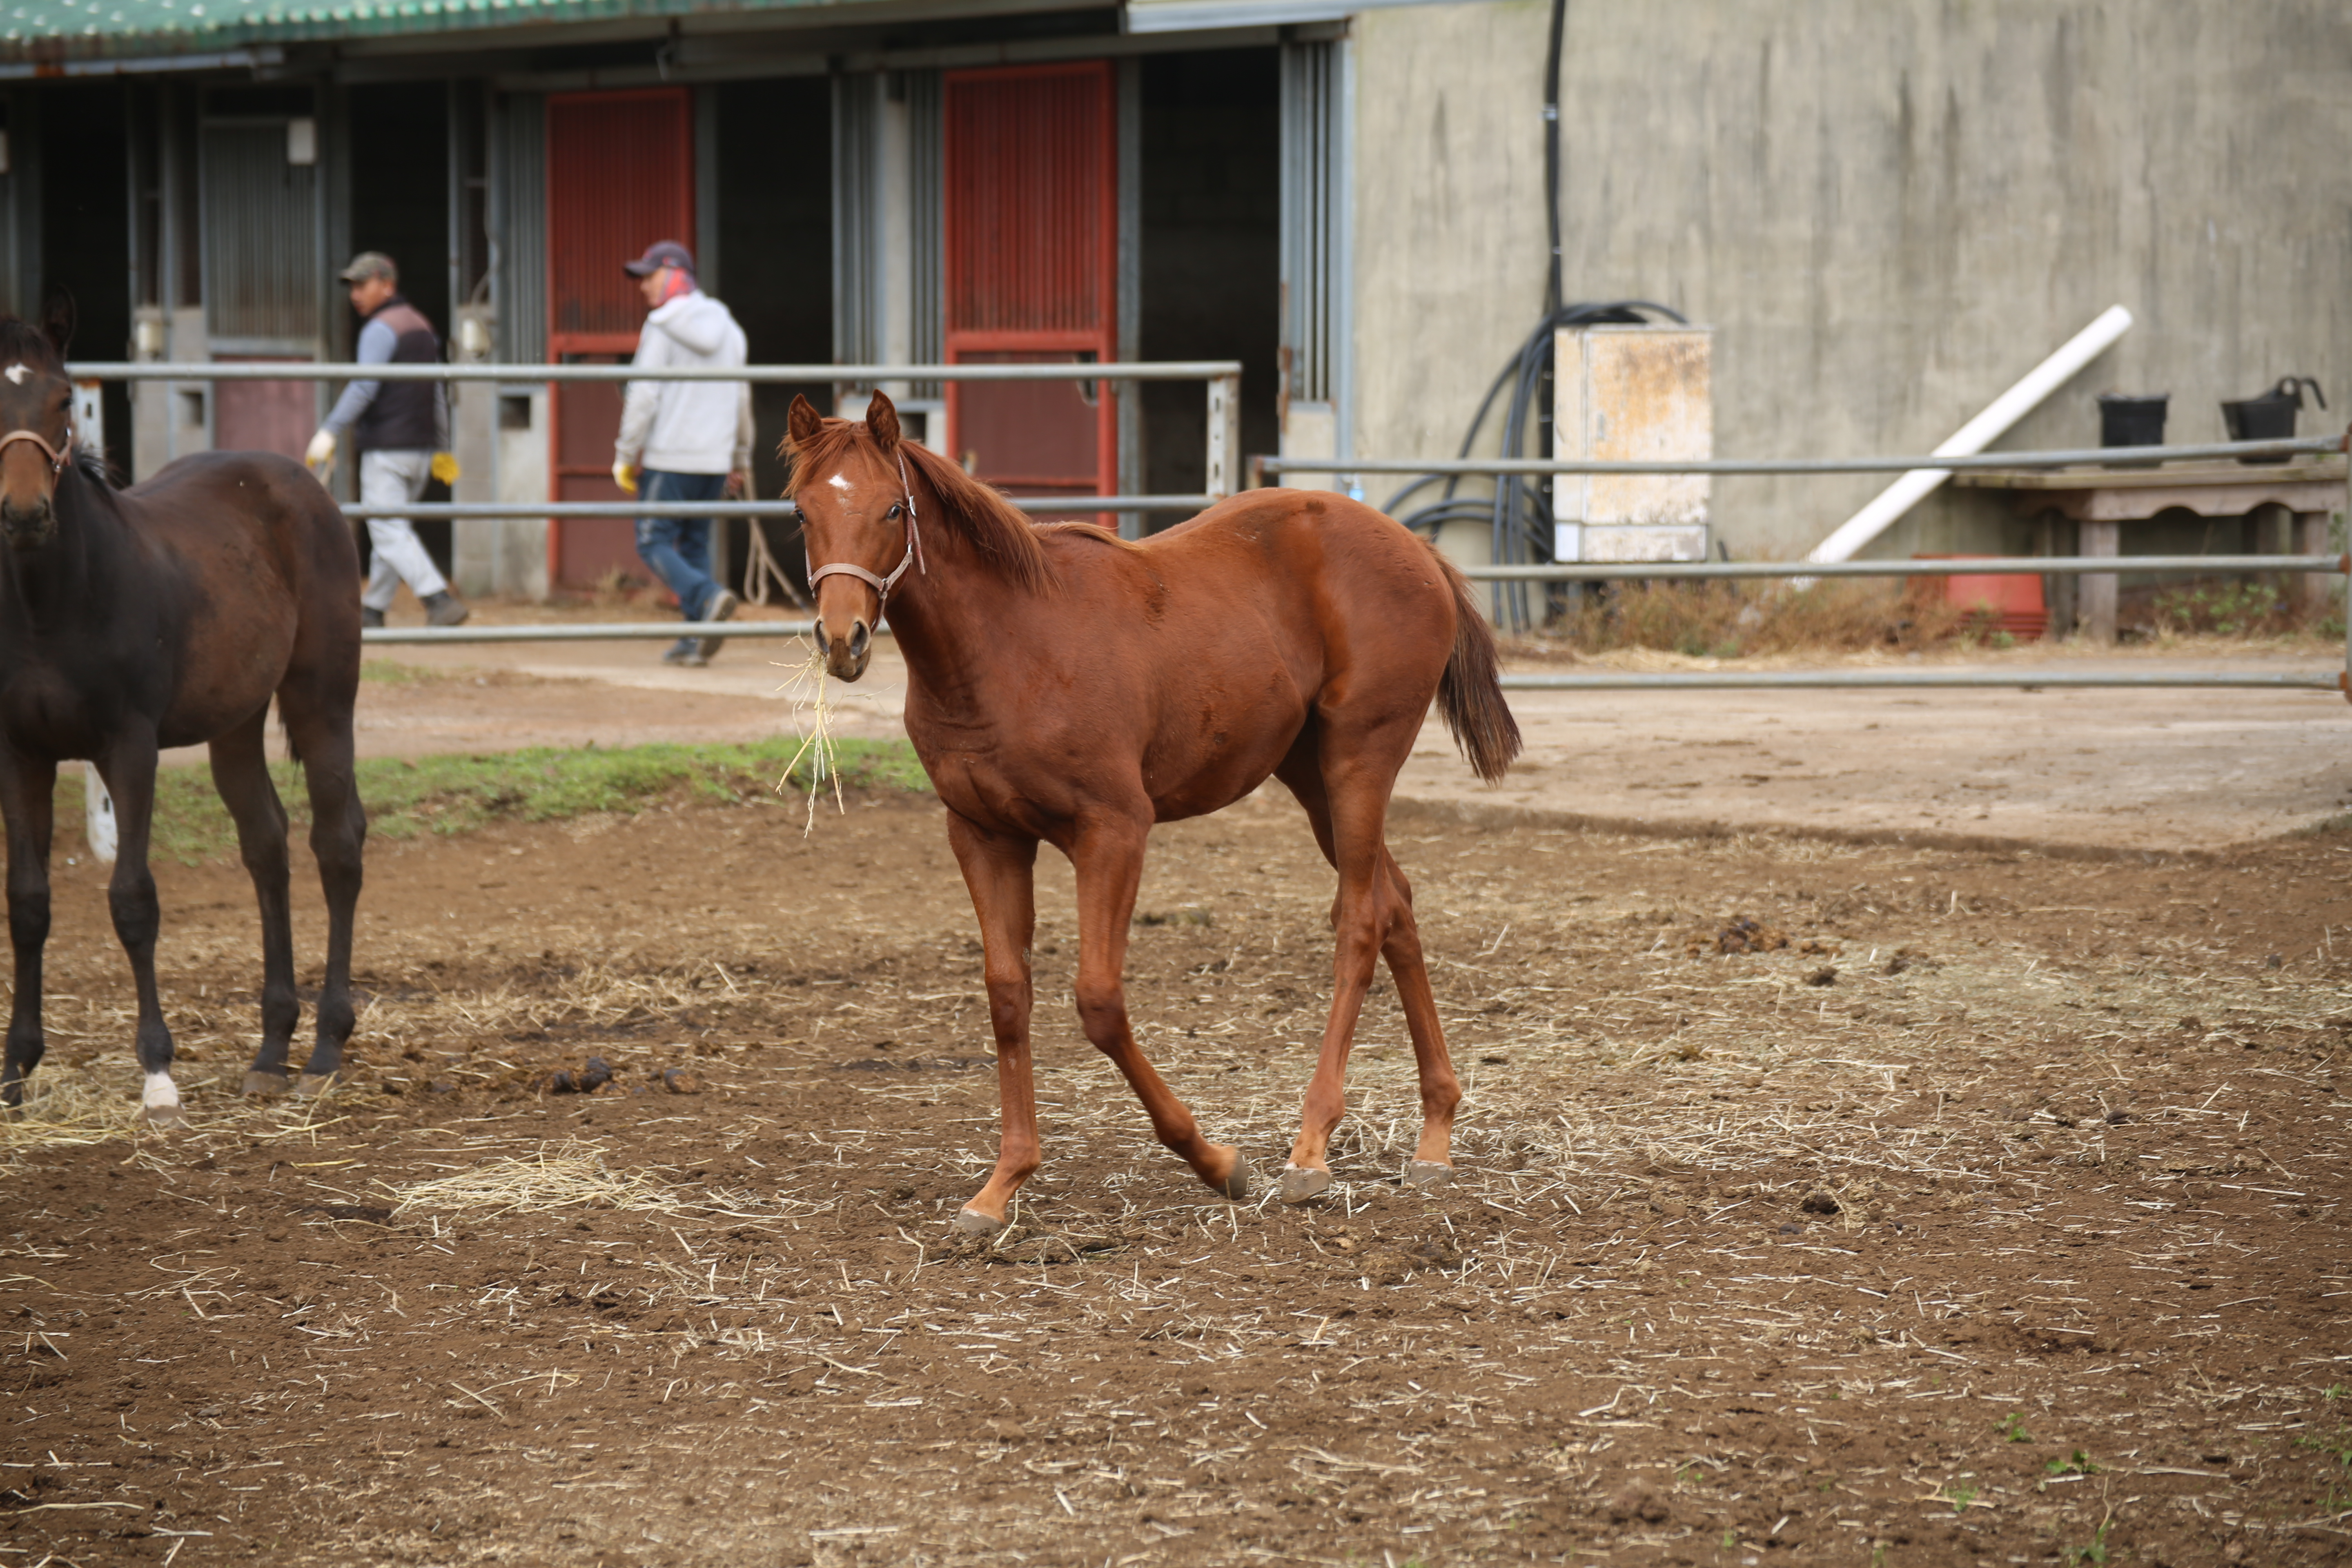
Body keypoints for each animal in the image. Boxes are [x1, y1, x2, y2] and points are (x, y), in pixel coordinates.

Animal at [0, 301, 364, 1123]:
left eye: (64, 400)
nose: (25, 514)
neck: (49, 604)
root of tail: (300, 481)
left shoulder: (128, 747)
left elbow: (133, 899)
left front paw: (158, 1074)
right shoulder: (21, 753)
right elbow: (29, 903)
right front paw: (14, 1070)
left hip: (323, 700)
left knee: (337, 844)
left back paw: (324, 1050)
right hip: (235, 723)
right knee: (267, 844)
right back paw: (270, 1052)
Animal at [790, 390, 1524, 1222]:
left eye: (891, 508)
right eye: (802, 511)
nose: (842, 639)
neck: (1007, 647)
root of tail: (1417, 550)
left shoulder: (1113, 832)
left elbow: (1100, 1002)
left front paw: (1218, 1163)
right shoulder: (982, 834)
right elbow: (1008, 997)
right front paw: (1002, 1185)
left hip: (1358, 762)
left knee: (1362, 921)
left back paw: (1310, 1149)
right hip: (1311, 778)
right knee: (1395, 903)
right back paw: (1435, 1134)